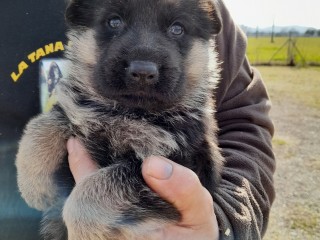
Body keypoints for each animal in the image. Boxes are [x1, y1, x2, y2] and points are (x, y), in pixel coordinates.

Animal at [16, 0, 224, 239]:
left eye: (177, 28)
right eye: (114, 21)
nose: (143, 72)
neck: (127, 113)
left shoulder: (181, 163)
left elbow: (94, 191)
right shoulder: (79, 109)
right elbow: (44, 123)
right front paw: (34, 185)